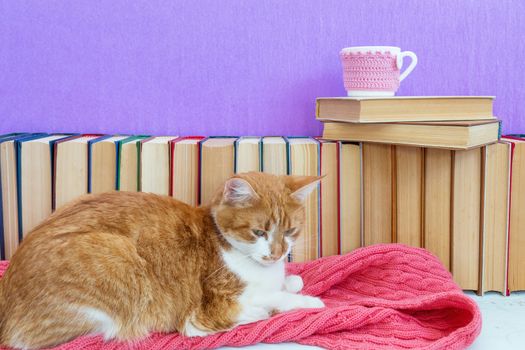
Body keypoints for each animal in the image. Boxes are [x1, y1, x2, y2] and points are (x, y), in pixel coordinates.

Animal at [0, 172, 324, 348]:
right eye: (258, 232)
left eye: (291, 231)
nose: (277, 253)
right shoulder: (214, 309)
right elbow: (275, 300)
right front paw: (307, 302)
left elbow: (290, 282)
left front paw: (290, 281)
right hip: (120, 259)